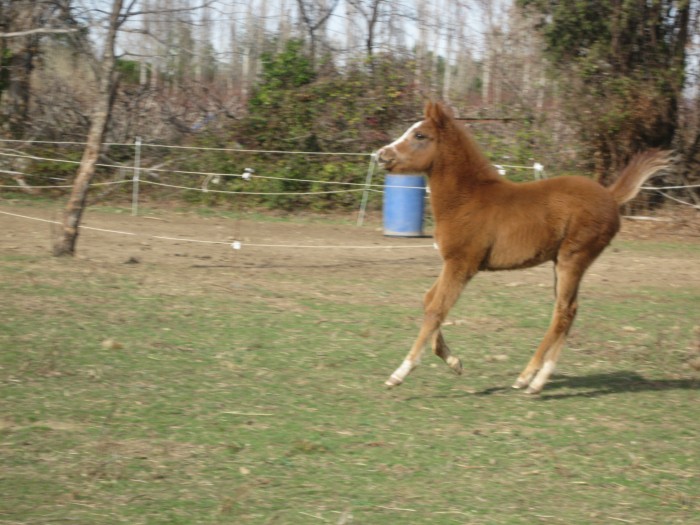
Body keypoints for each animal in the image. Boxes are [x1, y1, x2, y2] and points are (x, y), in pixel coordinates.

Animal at [378, 101, 672, 392]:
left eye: (419, 135)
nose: (381, 155)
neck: (467, 199)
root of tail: (610, 196)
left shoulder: (462, 263)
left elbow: (436, 310)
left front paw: (400, 372)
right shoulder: (452, 262)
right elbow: (429, 300)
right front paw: (454, 362)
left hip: (573, 258)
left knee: (563, 311)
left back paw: (526, 377)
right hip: (562, 262)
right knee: (571, 310)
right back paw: (539, 380)